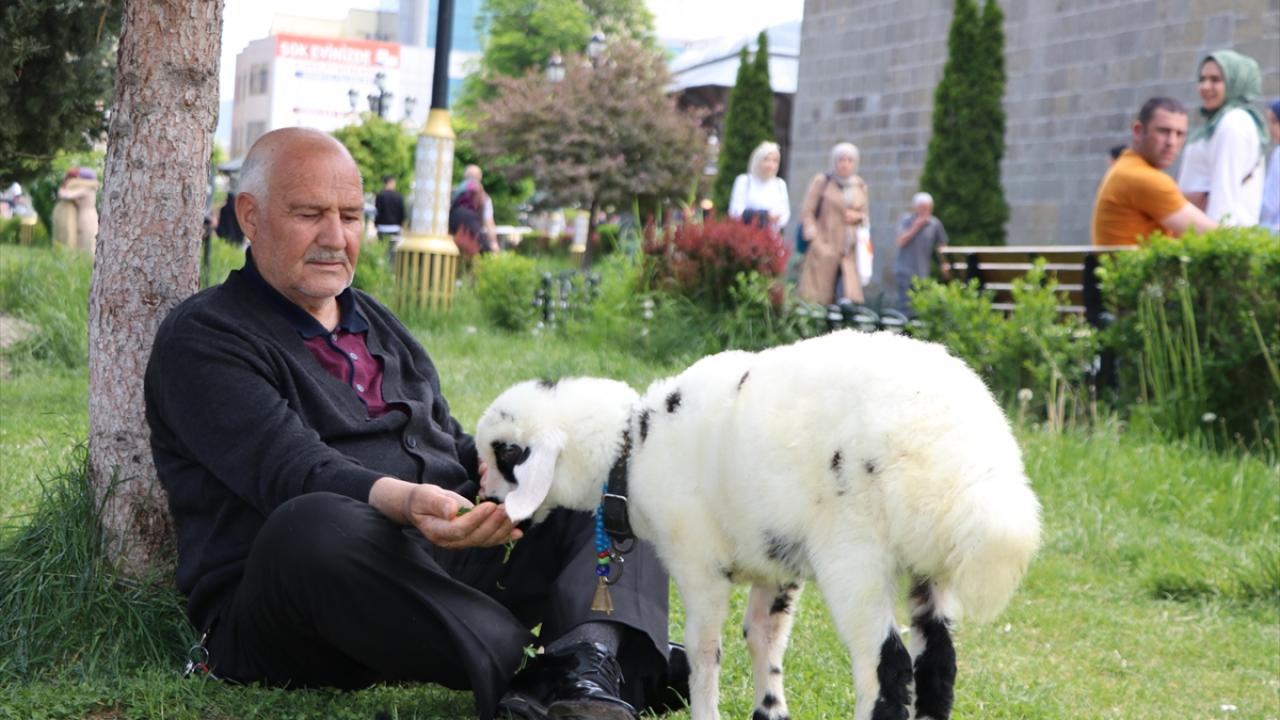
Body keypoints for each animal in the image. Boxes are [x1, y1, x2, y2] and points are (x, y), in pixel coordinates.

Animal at [475, 329, 1042, 720]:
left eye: (504, 453)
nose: (483, 497)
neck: (630, 449)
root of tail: (965, 454)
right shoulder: (776, 566)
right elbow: (762, 639)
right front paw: (769, 712)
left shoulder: (698, 565)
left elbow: (705, 652)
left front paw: (707, 712)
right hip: (932, 568)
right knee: (938, 665)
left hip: (853, 557)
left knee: (886, 666)